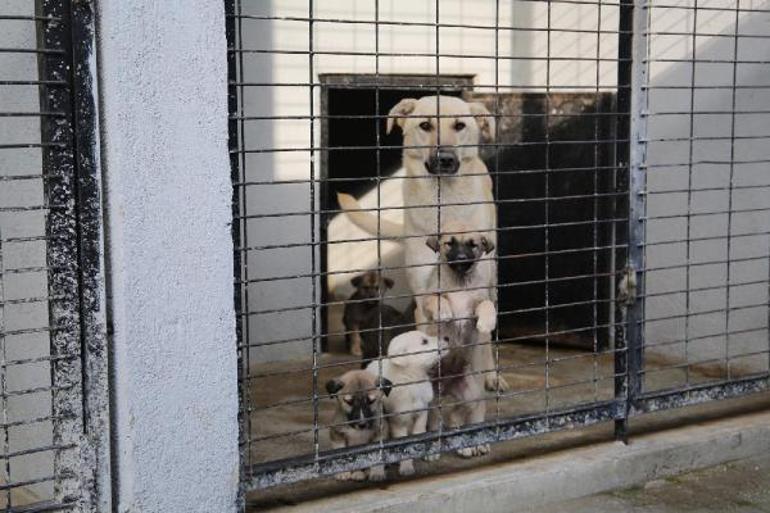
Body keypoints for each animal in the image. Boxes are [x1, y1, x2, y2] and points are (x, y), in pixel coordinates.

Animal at [338, 94, 508, 392]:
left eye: (460, 126)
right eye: (426, 125)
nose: (445, 159)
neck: (444, 202)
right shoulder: (423, 293)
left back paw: (490, 375)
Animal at [364, 330, 448, 474]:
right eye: (424, 341)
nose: (446, 338)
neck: (412, 380)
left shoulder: (422, 411)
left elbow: (419, 432)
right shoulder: (398, 421)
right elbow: (404, 445)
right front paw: (406, 466)